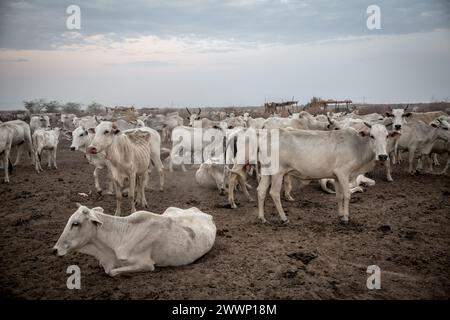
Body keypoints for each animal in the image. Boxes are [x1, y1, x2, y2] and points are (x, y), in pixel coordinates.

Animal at [256, 124, 398, 224]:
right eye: (372, 136)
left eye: (387, 136)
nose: (383, 156)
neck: (357, 146)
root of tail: (267, 135)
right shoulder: (343, 173)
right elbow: (347, 195)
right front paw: (346, 218)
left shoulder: (336, 176)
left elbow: (339, 196)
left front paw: (341, 215)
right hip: (277, 173)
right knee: (274, 193)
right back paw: (284, 218)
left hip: (266, 171)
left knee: (261, 190)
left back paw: (262, 218)